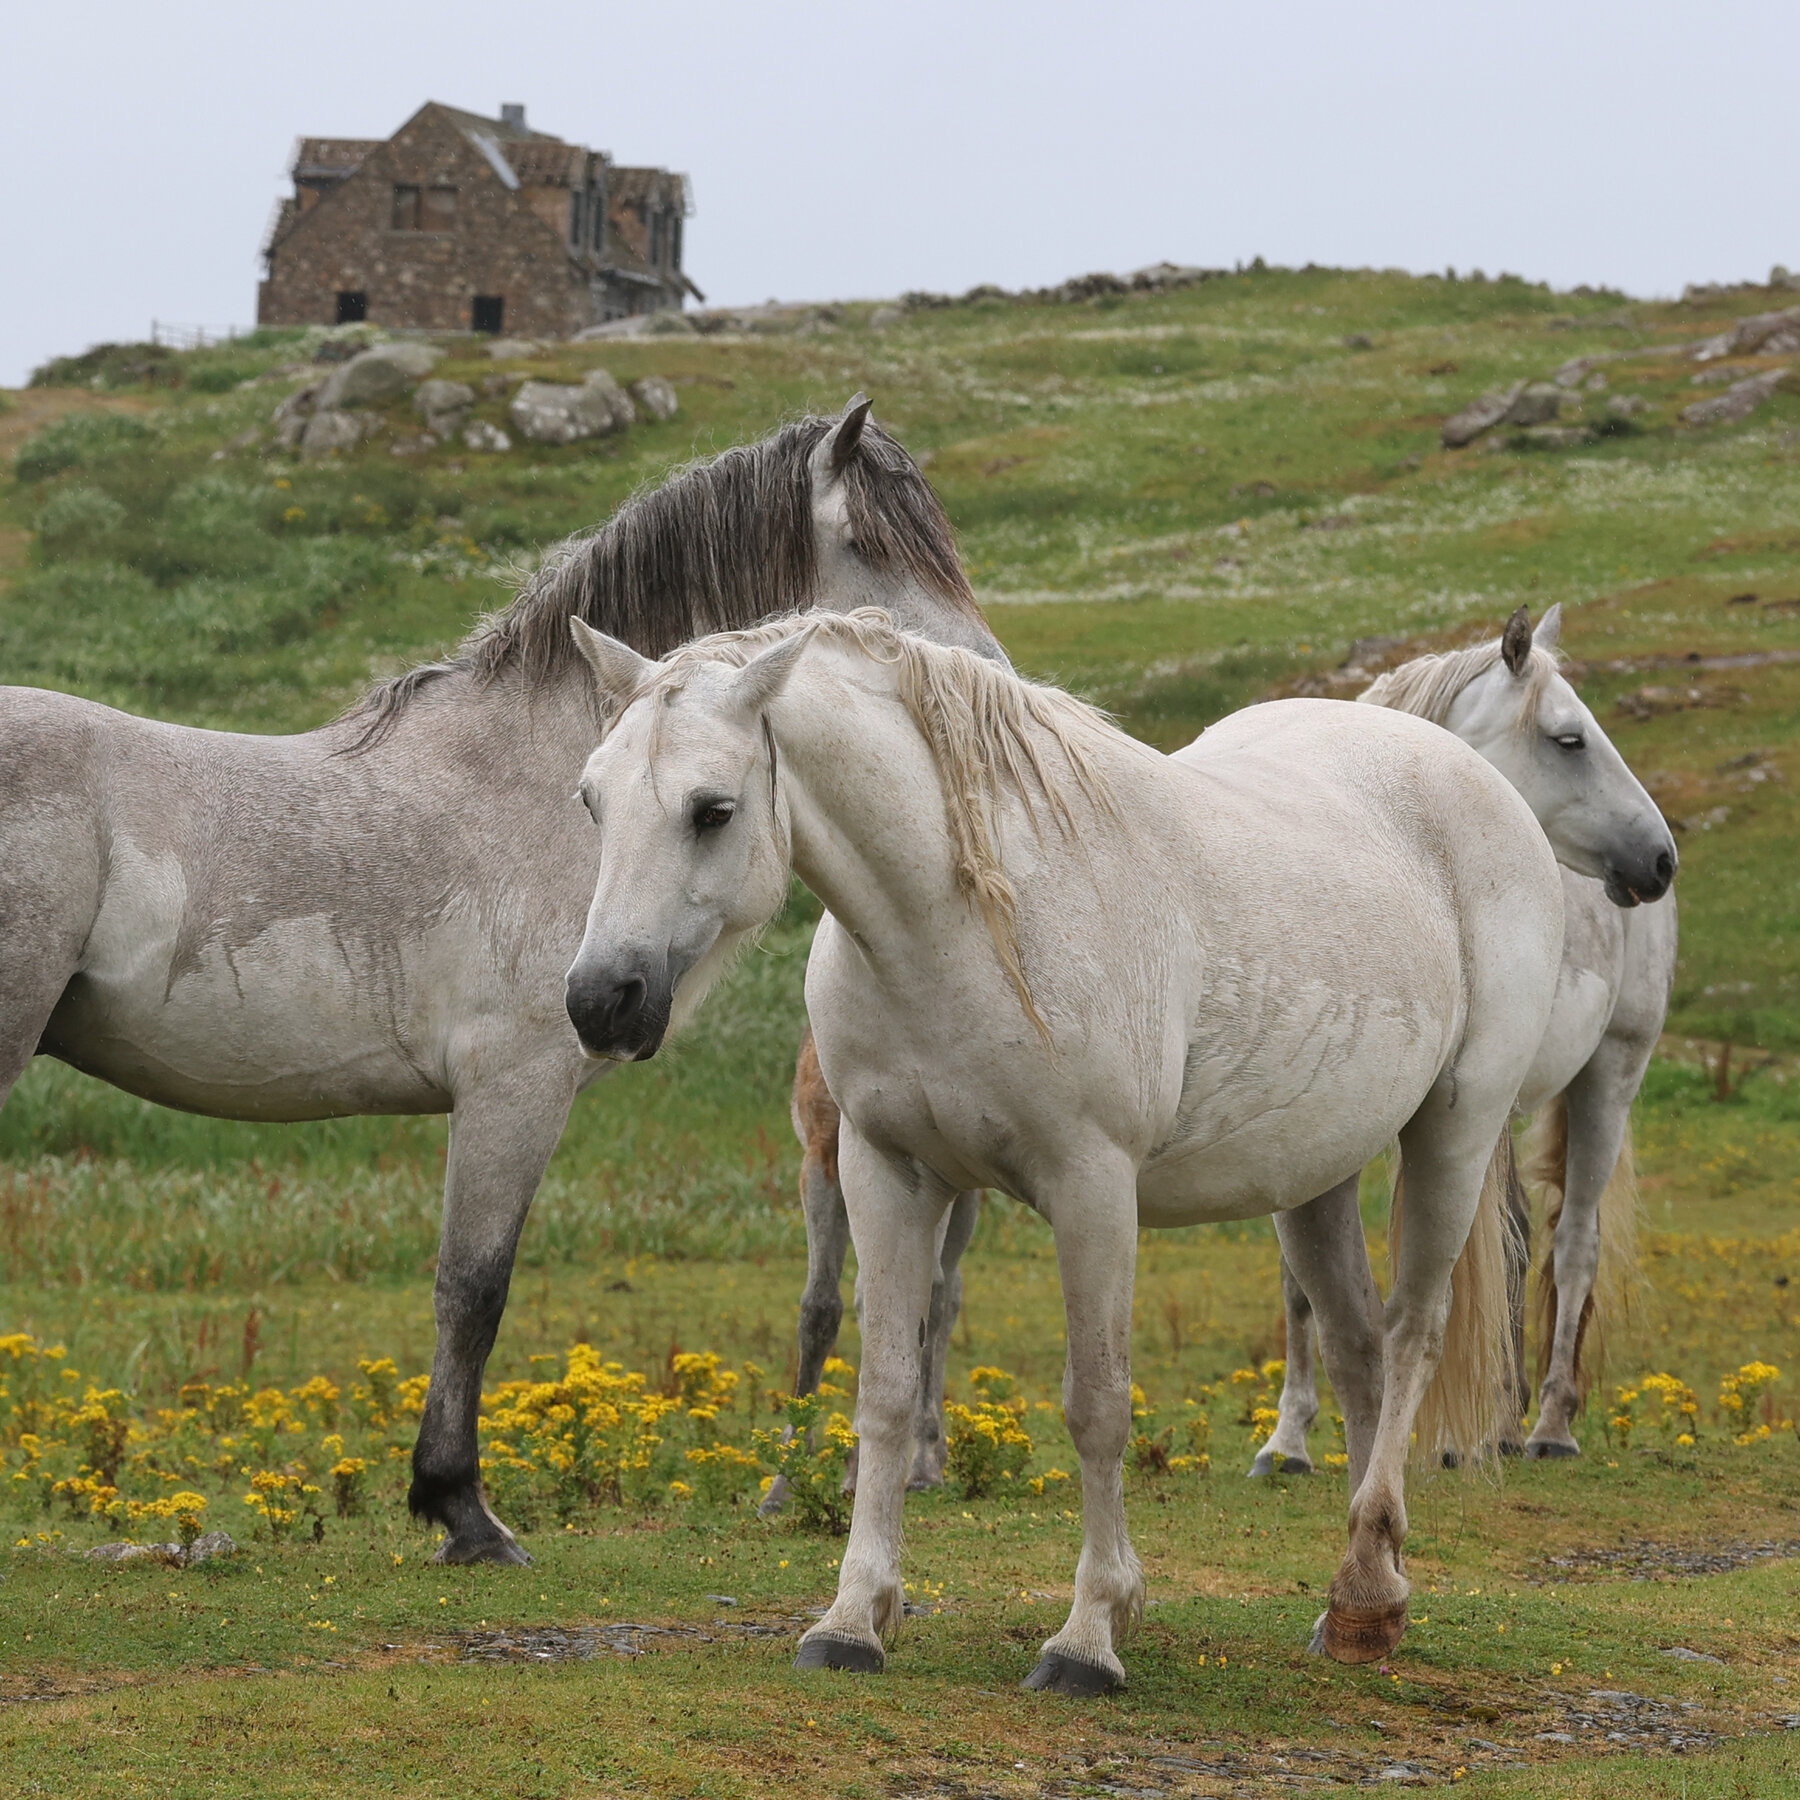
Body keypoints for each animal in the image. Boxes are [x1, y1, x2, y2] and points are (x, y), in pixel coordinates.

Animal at [0, 397, 1000, 1565]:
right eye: (883, 552)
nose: (995, 679)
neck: (556, 792)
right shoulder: (513, 1089)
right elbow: (472, 1290)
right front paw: (461, 1510)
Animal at [562, 608, 1567, 1686]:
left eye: (711, 810)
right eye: (591, 799)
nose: (600, 1000)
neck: (961, 923)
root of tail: (1471, 775)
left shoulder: (1092, 1188)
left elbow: (1097, 1404)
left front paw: (1090, 1633)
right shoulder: (886, 1174)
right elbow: (885, 1393)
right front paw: (852, 1618)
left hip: (1455, 1130)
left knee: (1415, 1330)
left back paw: (1366, 1590)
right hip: (1315, 1177)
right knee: (1357, 1349)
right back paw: (1362, 1600)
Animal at [1252, 605, 1677, 1476]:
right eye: (1569, 739)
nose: (1658, 858)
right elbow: (1302, 1283)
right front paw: (1288, 1440)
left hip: (1608, 1076)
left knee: (1571, 1241)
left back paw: (1547, 1423)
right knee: (1515, 1235)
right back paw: (1503, 1421)